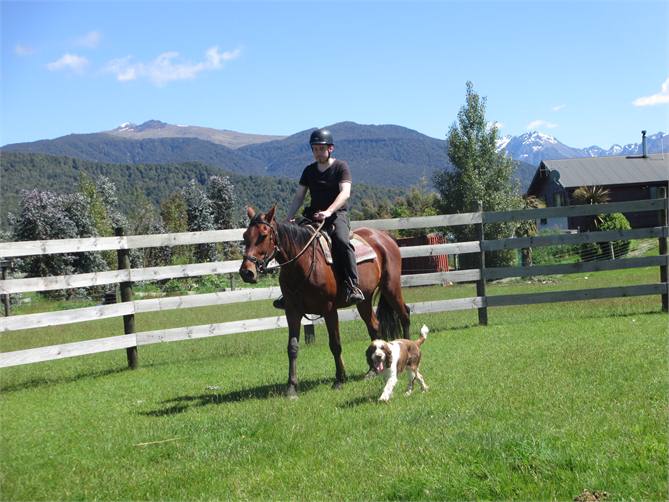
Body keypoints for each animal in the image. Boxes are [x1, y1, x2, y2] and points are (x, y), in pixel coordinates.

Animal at [239, 206, 411, 398]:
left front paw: (339, 379)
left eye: (263, 235)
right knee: (374, 326)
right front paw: (292, 387)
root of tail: (384, 236)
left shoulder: (329, 310)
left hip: (391, 287)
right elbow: (292, 347)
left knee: (404, 314)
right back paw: (372, 371)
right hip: (364, 300)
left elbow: (335, 344)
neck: (303, 262)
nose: (246, 272)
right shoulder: (292, 311)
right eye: (245, 236)